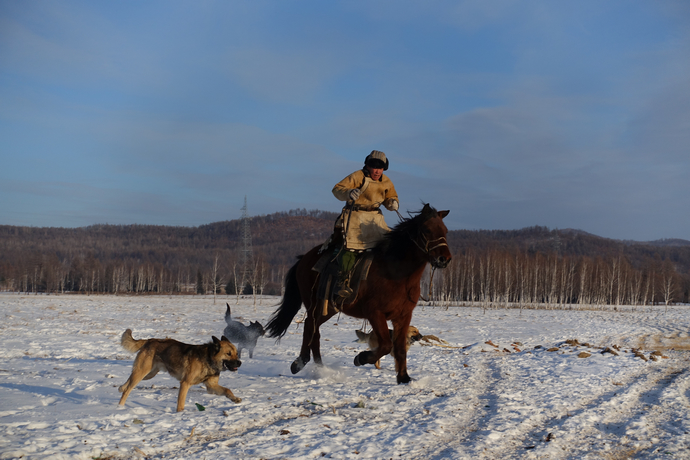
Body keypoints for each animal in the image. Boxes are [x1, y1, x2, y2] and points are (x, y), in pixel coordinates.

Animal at [264, 203, 452, 382]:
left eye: (445, 230)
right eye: (427, 230)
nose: (445, 259)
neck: (395, 273)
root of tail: (304, 258)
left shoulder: (403, 316)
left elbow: (399, 349)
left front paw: (404, 378)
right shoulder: (375, 313)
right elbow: (385, 344)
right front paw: (361, 358)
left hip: (328, 308)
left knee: (313, 329)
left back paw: (319, 367)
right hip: (314, 304)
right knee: (310, 327)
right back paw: (301, 363)